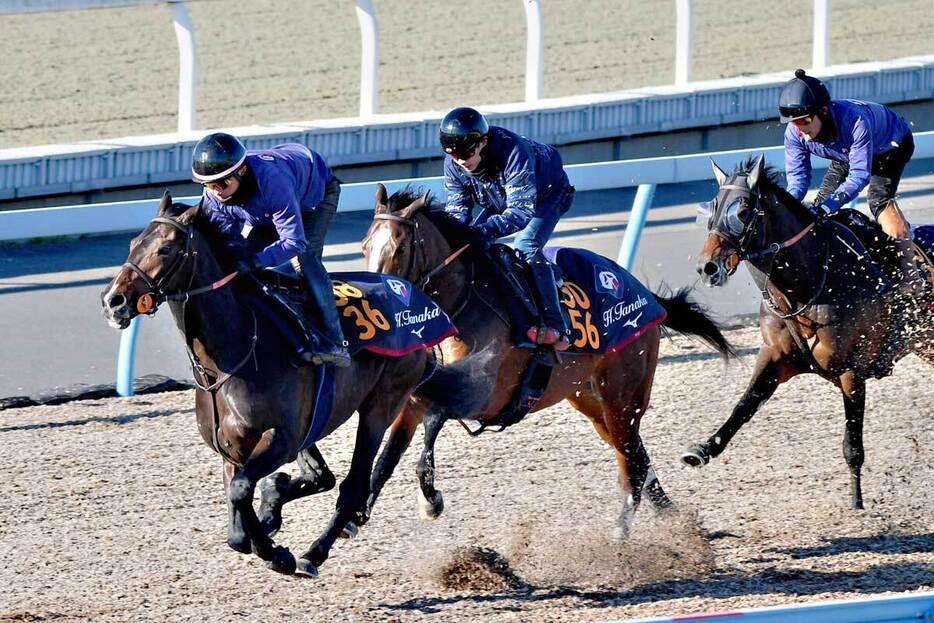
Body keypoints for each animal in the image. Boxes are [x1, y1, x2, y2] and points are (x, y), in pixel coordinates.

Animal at [358, 185, 740, 540]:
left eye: (400, 248)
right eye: (364, 246)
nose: (380, 301)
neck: (465, 302)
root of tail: (645, 296)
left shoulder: (484, 396)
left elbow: (433, 422)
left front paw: (431, 501)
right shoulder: (417, 395)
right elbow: (388, 455)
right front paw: (355, 515)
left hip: (624, 393)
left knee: (632, 462)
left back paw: (621, 533)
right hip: (590, 399)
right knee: (634, 454)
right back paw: (673, 518)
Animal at [688, 155, 934, 508]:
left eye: (743, 211)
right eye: (714, 207)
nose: (707, 267)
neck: (809, 284)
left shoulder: (851, 370)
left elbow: (852, 444)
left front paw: (856, 501)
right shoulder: (775, 357)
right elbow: (744, 406)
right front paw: (703, 448)